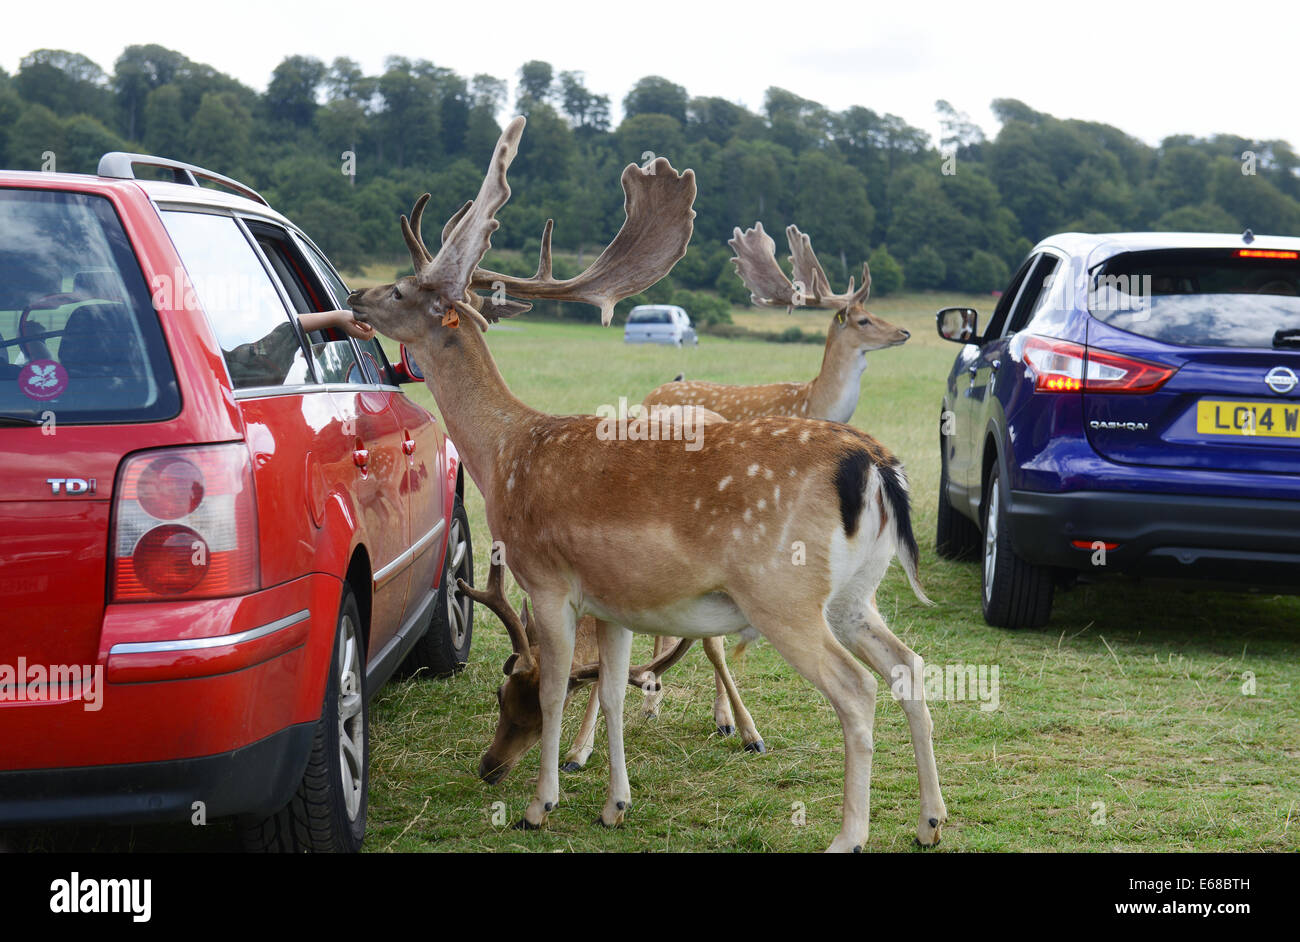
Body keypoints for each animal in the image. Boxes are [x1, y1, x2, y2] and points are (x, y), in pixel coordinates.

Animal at [351, 117, 951, 852]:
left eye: (402, 290)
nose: (354, 294)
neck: (506, 454)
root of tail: (874, 464)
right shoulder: (613, 601)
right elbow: (609, 691)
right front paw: (614, 803)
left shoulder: (547, 579)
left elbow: (556, 686)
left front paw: (540, 805)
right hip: (856, 592)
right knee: (908, 666)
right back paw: (929, 820)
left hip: (782, 592)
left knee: (858, 690)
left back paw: (848, 836)